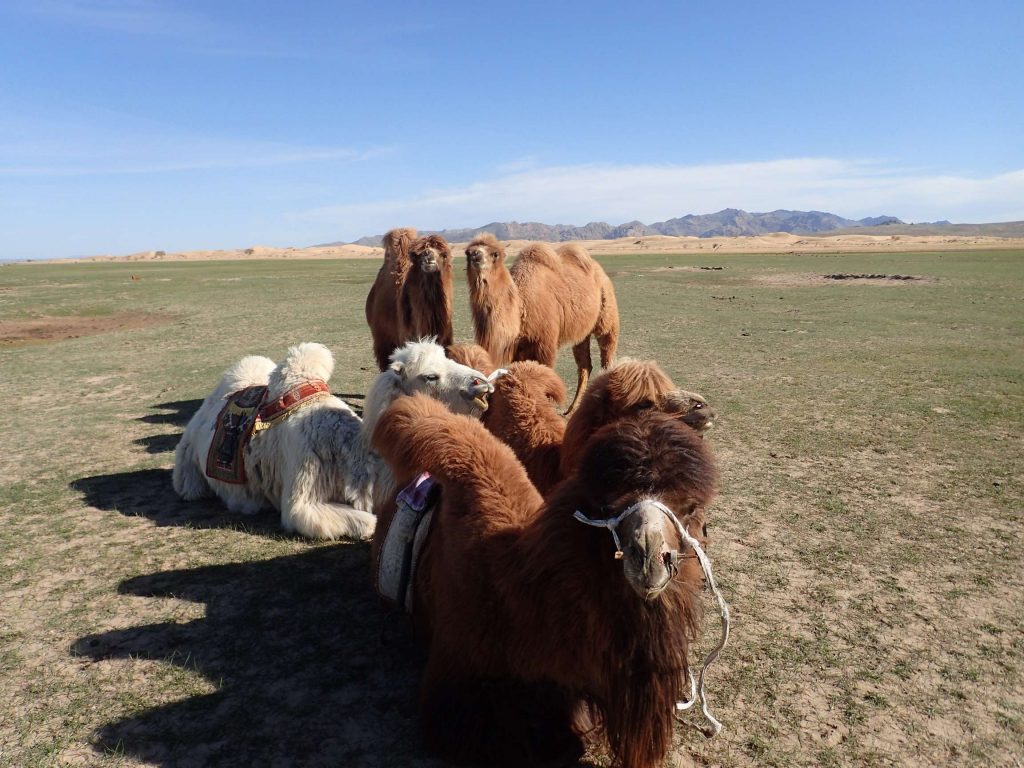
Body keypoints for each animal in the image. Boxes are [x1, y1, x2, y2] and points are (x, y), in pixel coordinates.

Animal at [172, 339, 491, 536]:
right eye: (430, 376)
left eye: (449, 357)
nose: (481, 383)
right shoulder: (302, 496)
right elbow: (367, 523)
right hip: (188, 469)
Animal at [466, 234, 622, 415]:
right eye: (467, 252)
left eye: (495, 253)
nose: (474, 254)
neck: (521, 306)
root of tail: (601, 272)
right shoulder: (519, 348)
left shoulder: (545, 344)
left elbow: (545, 378)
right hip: (582, 332)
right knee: (584, 365)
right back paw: (572, 409)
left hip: (607, 315)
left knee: (607, 354)